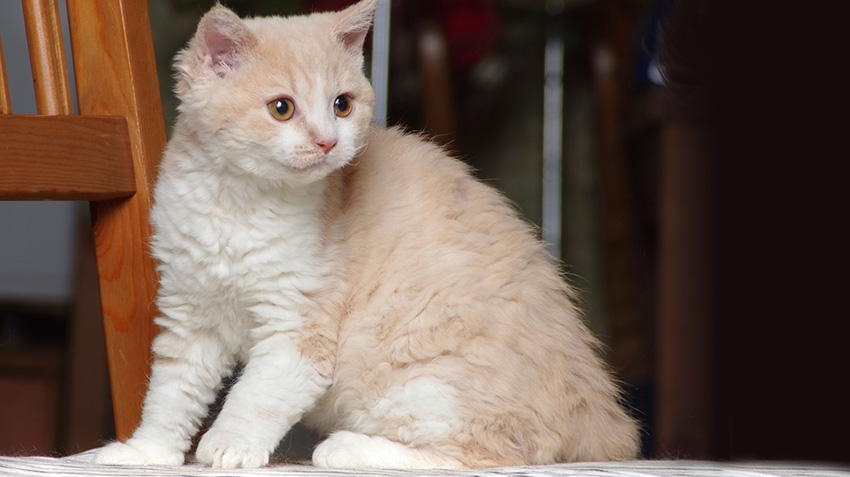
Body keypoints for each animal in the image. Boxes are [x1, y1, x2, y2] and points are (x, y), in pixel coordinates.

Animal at [93, 0, 636, 468]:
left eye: (342, 104)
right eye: (282, 108)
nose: (327, 142)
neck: (239, 204)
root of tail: (603, 418)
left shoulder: (300, 329)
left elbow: (256, 395)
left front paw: (229, 445)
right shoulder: (191, 313)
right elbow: (170, 394)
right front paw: (144, 452)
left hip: (424, 379)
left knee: (485, 453)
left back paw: (344, 448)